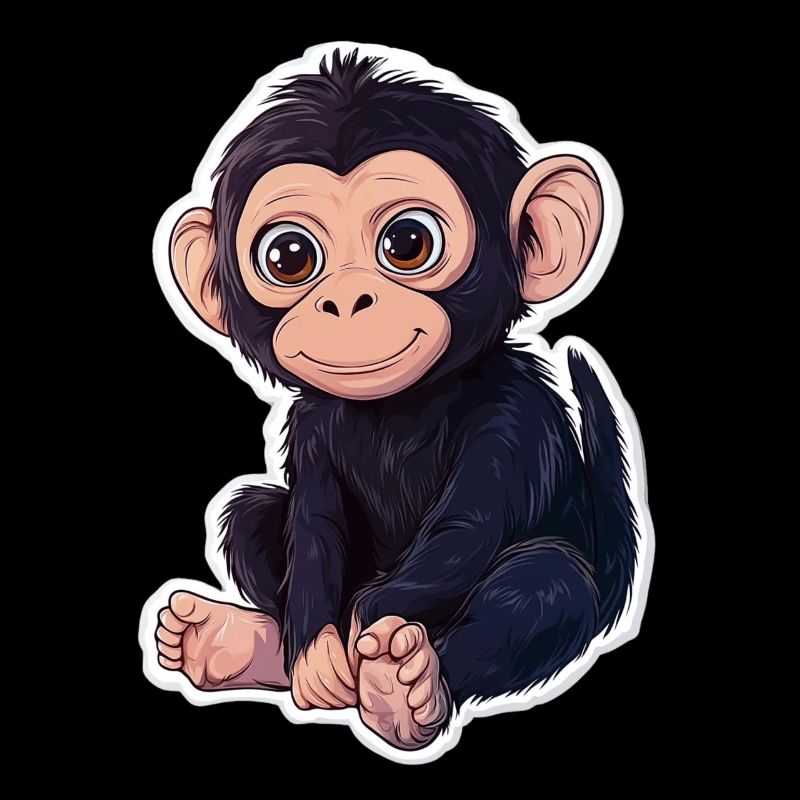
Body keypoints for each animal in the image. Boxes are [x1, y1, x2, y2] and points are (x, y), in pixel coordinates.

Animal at [146, 46, 649, 755]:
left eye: (408, 243)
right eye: (289, 256)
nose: (346, 300)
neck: (397, 406)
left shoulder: (512, 411)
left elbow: (468, 526)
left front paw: (366, 634)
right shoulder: (311, 423)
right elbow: (313, 522)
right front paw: (316, 653)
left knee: (547, 582)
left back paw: (400, 688)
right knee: (249, 514)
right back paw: (233, 643)